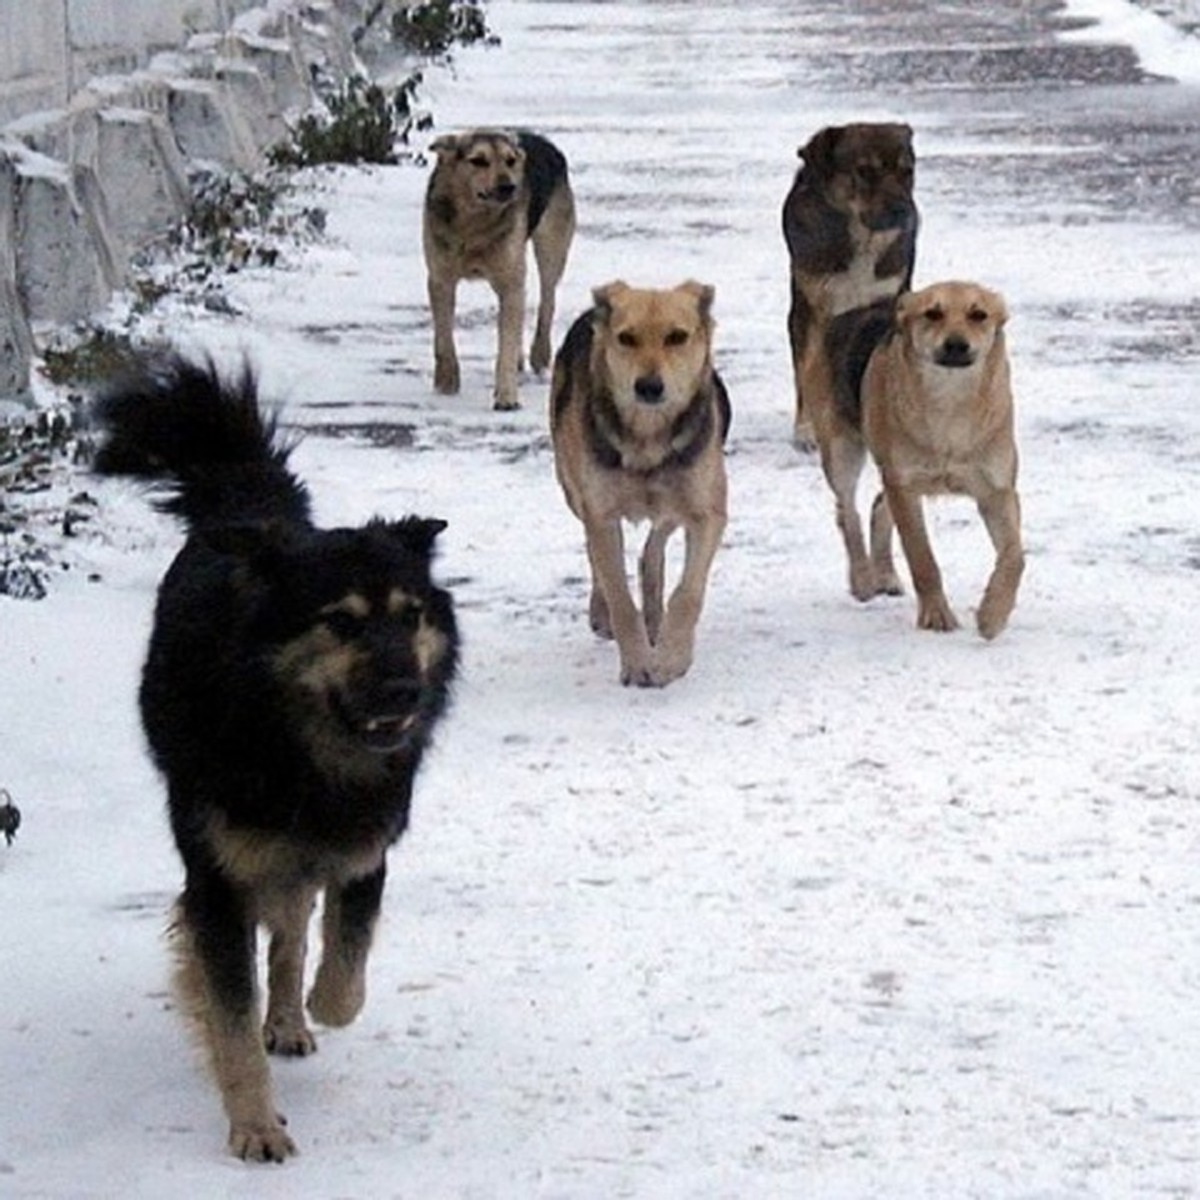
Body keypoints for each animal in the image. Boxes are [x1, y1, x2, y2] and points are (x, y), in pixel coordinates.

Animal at [92, 350, 458, 1156]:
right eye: (341, 623)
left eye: (410, 615)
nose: (406, 692)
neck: (299, 748)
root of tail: (253, 509)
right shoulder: (220, 878)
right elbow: (230, 1014)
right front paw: (255, 1126)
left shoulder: (361, 850)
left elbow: (344, 965)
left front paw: (316, 1006)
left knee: (292, 929)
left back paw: (290, 1017)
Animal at [422, 127, 576, 408]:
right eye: (478, 160)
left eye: (510, 161)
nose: (509, 187)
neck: (474, 225)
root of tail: (544, 141)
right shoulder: (440, 278)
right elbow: (443, 336)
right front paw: (446, 382)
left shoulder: (509, 280)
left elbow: (506, 342)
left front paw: (506, 396)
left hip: (551, 246)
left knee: (547, 299)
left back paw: (539, 354)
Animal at [549, 279, 729, 686]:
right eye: (626, 338)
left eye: (677, 337)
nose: (648, 387)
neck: (648, 438)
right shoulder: (600, 512)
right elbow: (618, 595)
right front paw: (636, 663)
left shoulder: (707, 512)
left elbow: (687, 593)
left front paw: (672, 658)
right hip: (572, 489)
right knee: (597, 555)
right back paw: (602, 613)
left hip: (676, 500)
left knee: (654, 547)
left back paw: (655, 618)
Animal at [864, 279, 1022, 638]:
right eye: (932, 313)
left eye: (979, 314)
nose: (956, 345)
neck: (951, 406)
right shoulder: (905, 486)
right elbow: (922, 558)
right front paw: (936, 613)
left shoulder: (998, 490)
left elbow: (1015, 556)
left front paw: (994, 614)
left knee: (879, 506)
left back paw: (884, 575)